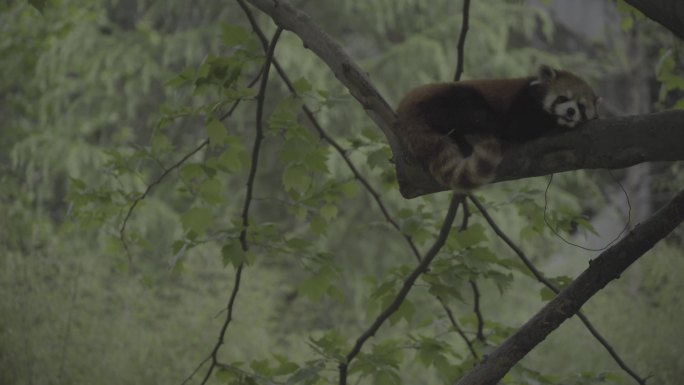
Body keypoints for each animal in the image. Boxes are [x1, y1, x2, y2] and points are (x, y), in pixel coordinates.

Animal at [396, 66, 600, 192]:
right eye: (563, 98)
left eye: (581, 107)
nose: (571, 112)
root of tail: (409, 100)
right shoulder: (522, 101)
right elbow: (520, 127)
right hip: (450, 101)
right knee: (475, 113)